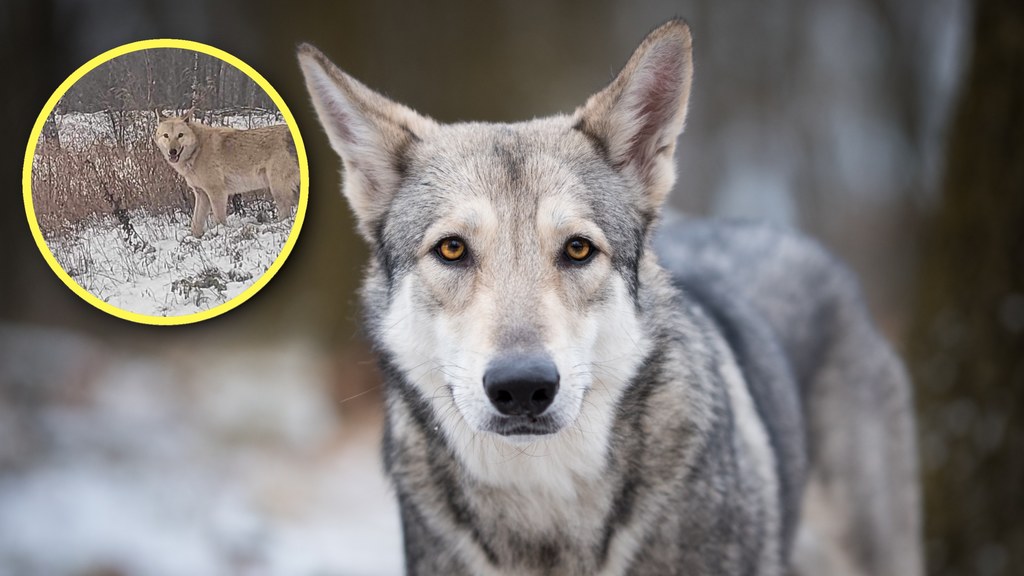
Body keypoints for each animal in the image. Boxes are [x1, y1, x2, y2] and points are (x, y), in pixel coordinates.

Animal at [150, 109, 299, 235]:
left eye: (180, 135)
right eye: (166, 136)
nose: (172, 151)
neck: (197, 150)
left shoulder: (217, 192)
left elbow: (219, 219)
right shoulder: (201, 194)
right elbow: (195, 224)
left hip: (278, 190)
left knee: (285, 214)